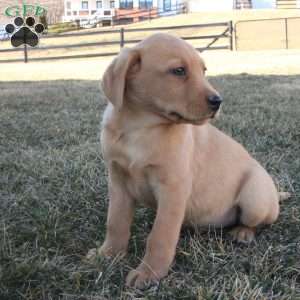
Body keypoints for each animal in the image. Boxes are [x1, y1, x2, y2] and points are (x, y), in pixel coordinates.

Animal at [86, 32, 282, 288]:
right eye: (178, 71)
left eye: (204, 70)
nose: (218, 101)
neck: (140, 128)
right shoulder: (118, 181)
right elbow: (115, 222)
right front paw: (107, 255)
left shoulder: (173, 188)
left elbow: (160, 235)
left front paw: (149, 273)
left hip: (255, 199)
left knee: (257, 221)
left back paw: (243, 232)